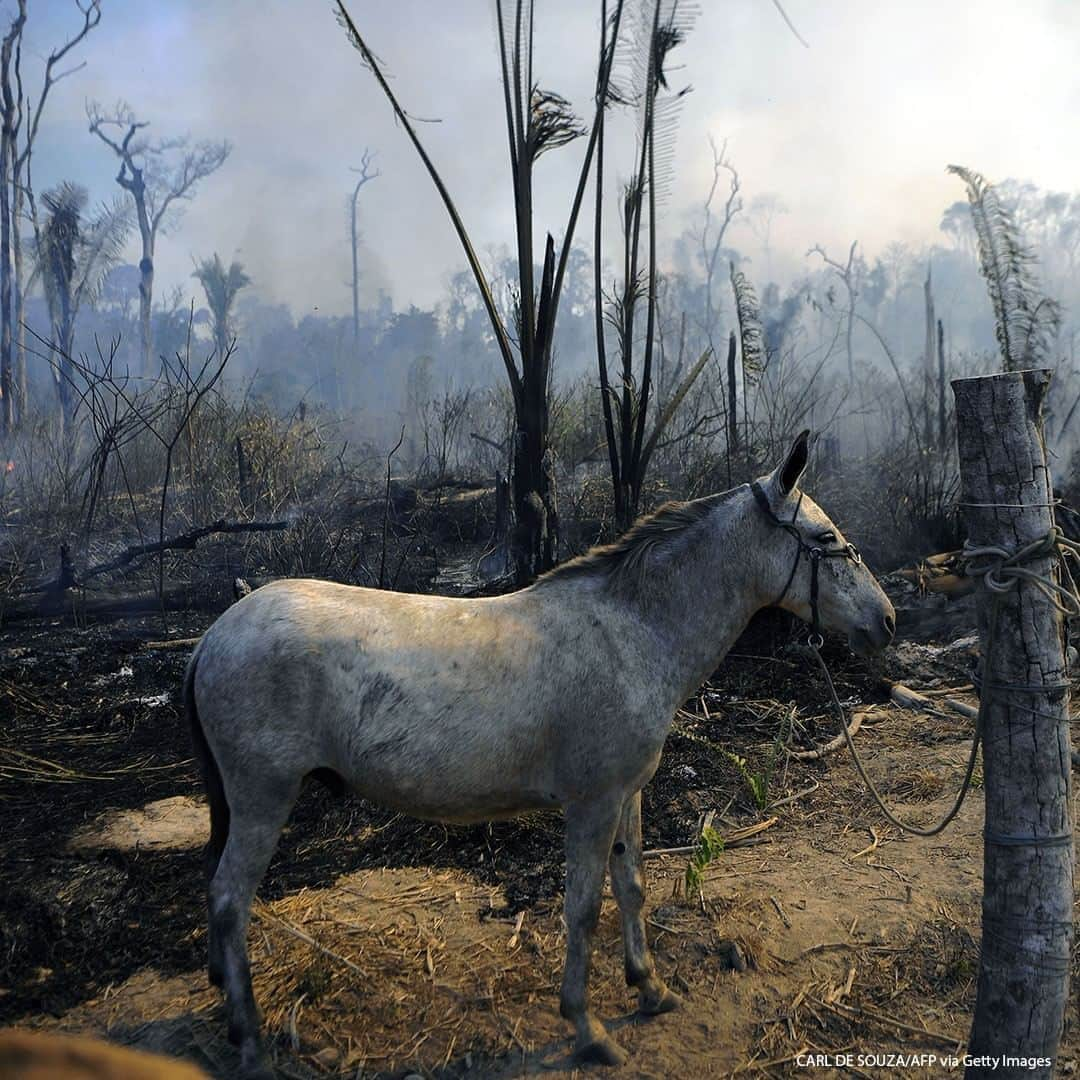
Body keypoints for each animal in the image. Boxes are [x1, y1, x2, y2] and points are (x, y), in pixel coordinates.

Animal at [185, 427, 894, 1071]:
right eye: (825, 540)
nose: (885, 621)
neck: (631, 632)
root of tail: (214, 636)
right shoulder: (592, 804)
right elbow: (582, 910)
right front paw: (587, 1028)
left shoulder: (627, 795)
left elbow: (631, 886)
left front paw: (650, 988)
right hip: (263, 798)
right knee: (228, 900)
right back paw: (249, 1041)